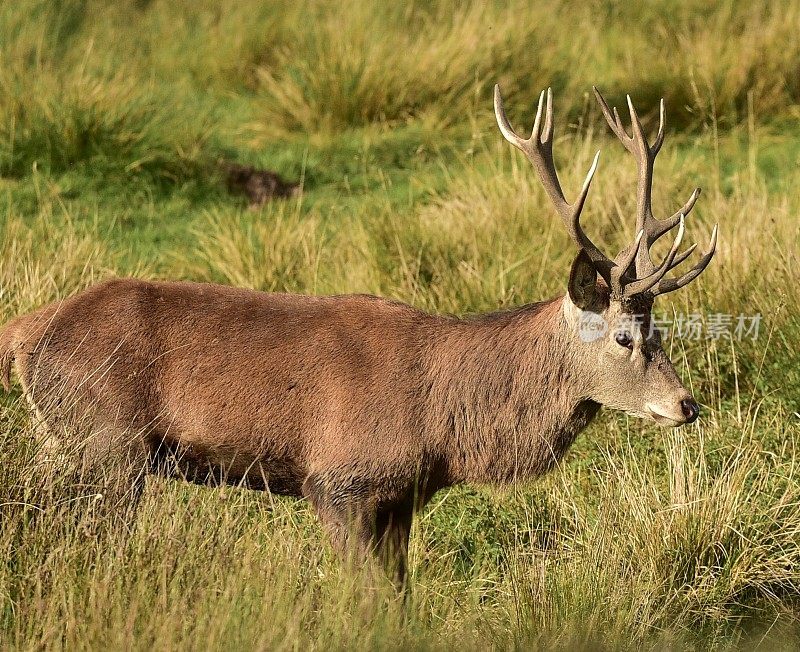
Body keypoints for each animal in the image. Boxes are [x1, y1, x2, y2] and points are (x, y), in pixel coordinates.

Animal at [0, 86, 712, 584]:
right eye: (623, 338)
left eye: (659, 328)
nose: (687, 404)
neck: (442, 422)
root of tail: (25, 331)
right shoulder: (340, 481)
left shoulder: (399, 499)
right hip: (103, 438)